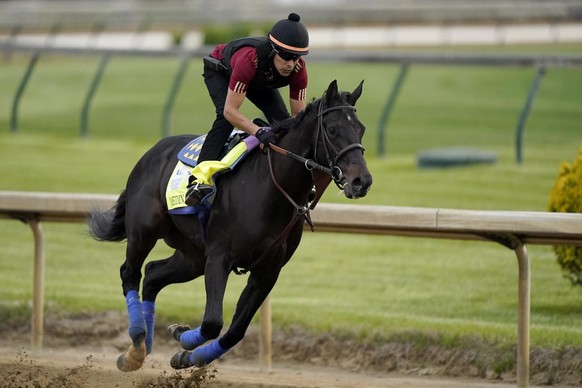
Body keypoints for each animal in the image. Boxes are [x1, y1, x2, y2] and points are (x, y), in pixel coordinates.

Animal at [89, 79, 376, 372]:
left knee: (153, 275)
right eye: (333, 129)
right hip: (144, 232)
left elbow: (235, 331)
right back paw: (135, 346)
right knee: (130, 273)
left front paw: (187, 353)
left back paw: (143, 346)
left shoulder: (268, 270)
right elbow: (212, 322)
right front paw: (184, 339)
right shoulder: (219, 257)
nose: (361, 181)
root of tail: (152, 152)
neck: (270, 189)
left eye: (361, 128)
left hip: (193, 255)